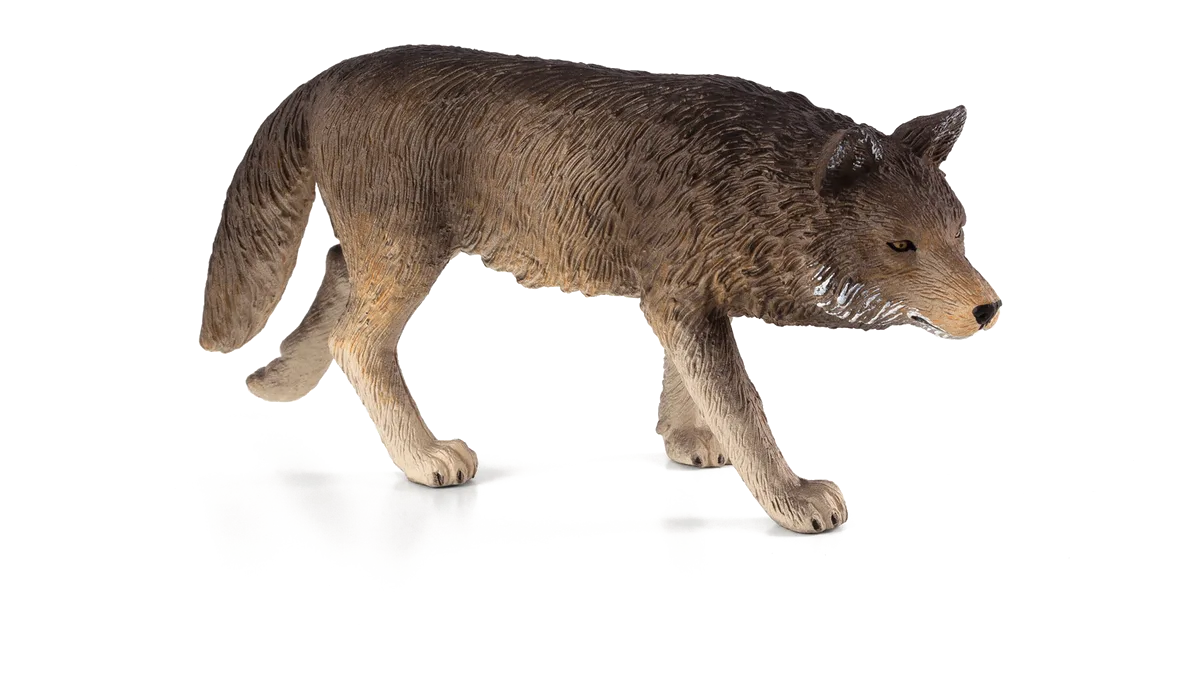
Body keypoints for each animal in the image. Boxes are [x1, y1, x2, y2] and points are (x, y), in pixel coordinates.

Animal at [199, 44, 1001, 534]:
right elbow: (743, 409)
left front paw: (687, 441)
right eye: (901, 245)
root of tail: (326, 77)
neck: (758, 178)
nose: (988, 308)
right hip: (409, 253)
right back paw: (423, 458)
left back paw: (274, 382)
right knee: (355, 341)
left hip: (381, 252)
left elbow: (689, 384)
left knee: (332, 285)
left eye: (959, 230)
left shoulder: (679, 299)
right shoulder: (682, 297)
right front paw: (789, 497)